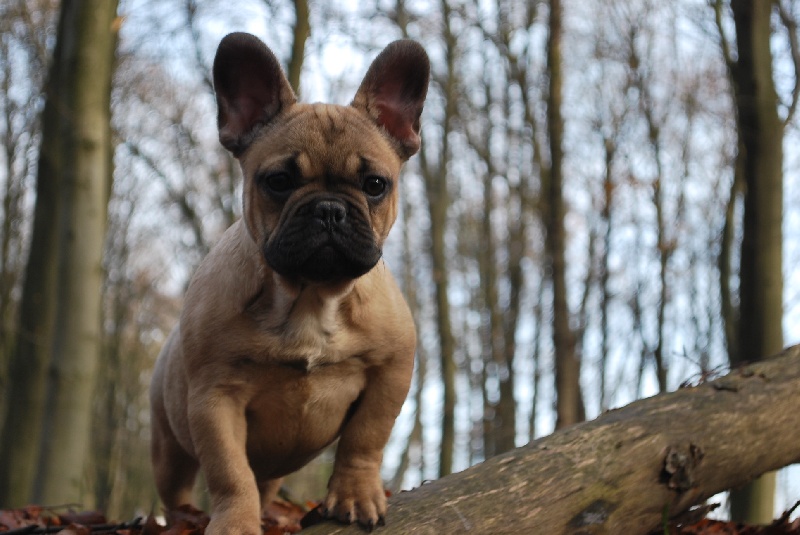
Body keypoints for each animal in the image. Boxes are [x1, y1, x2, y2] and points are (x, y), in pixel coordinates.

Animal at [147, 33, 428, 535]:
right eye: (279, 181)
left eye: (375, 184)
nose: (329, 209)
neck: (311, 296)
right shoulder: (214, 398)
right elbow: (229, 470)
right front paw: (235, 524)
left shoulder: (390, 372)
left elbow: (365, 439)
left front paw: (355, 496)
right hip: (168, 447)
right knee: (181, 488)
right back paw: (184, 518)